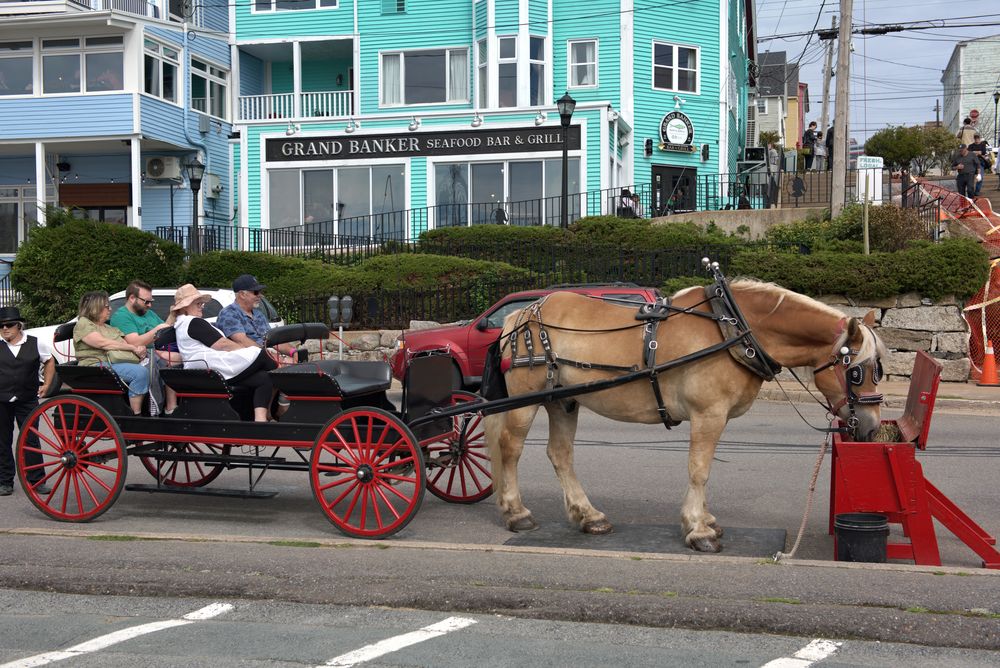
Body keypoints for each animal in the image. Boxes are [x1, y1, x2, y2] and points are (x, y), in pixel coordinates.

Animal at [482, 278, 884, 552]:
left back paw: (589, 515)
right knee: (510, 449)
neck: (731, 329)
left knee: (560, 455)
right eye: (856, 372)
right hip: (526, 400)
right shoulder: (708, 414)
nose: (871, 427)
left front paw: (705, 520)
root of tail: (520, 314)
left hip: (563, 401)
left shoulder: (715, 418)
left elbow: (704, 469)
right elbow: (699, 469)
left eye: (879, 369)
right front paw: (698, 529)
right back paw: (516, 512)